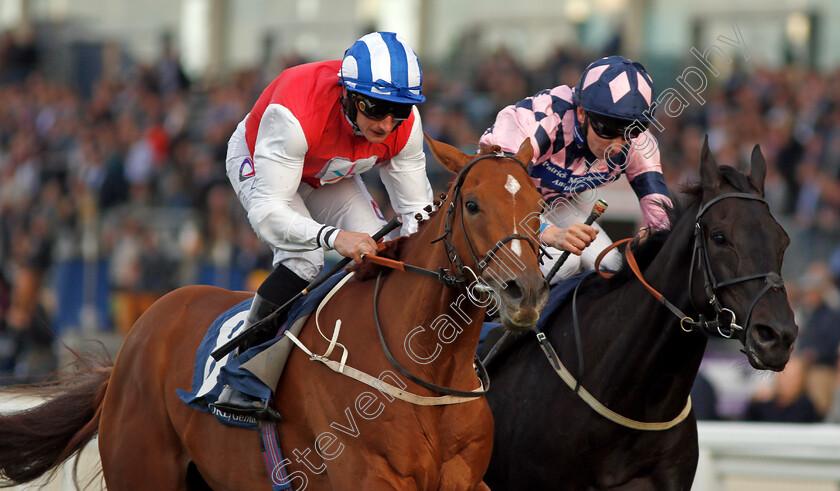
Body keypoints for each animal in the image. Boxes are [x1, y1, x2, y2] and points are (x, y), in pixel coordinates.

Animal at [0, 135, 548, 491]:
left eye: (540, 206)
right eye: (472, 205)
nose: (525, 292)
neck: (426, 372)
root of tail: (137, 335)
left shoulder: (465, 481)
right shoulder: (369, 478)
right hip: (143, 469)